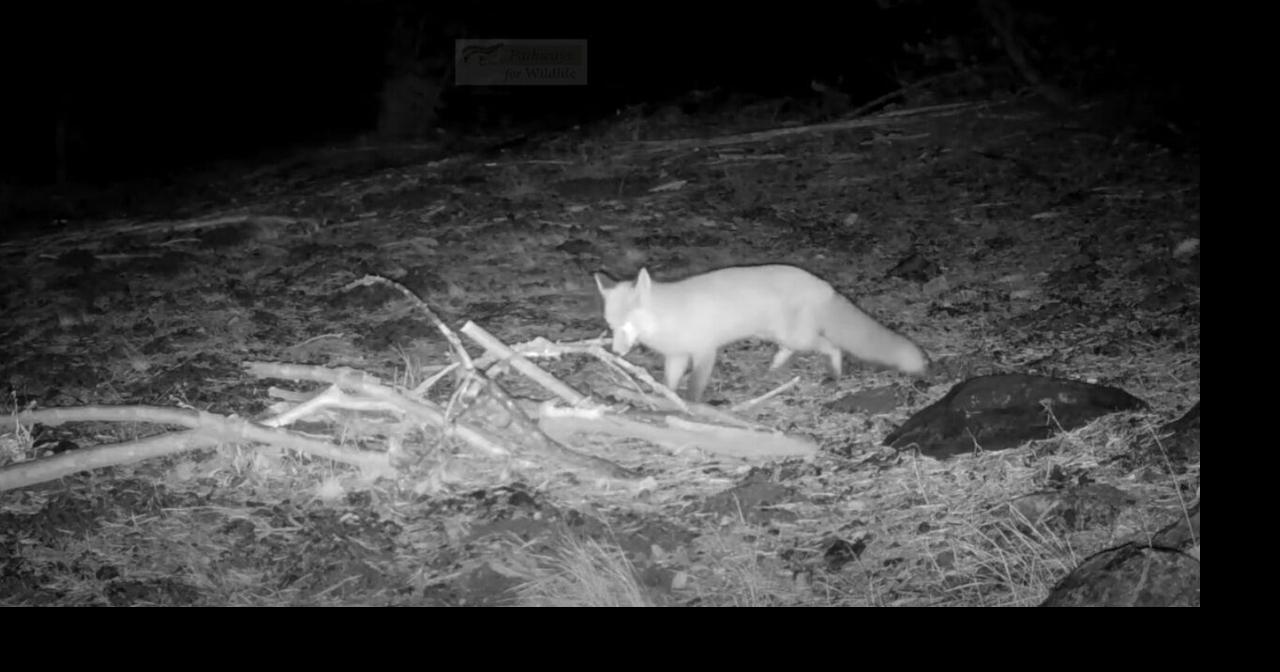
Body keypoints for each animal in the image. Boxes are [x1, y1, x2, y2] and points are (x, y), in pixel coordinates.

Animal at [594, 264, 929, 402]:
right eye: (611, 327)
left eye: (627, 326)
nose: (615, 352)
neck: (669, 318)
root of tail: (824, 285)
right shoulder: (676, 356)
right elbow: (669, 384)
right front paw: (665, 398)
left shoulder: (704, 351)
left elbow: (694, 387)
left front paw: (690, 407)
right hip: (777, 335)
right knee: (792, 350)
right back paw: (775, 369)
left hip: (798, 336)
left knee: (832, 347)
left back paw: (834, 373)